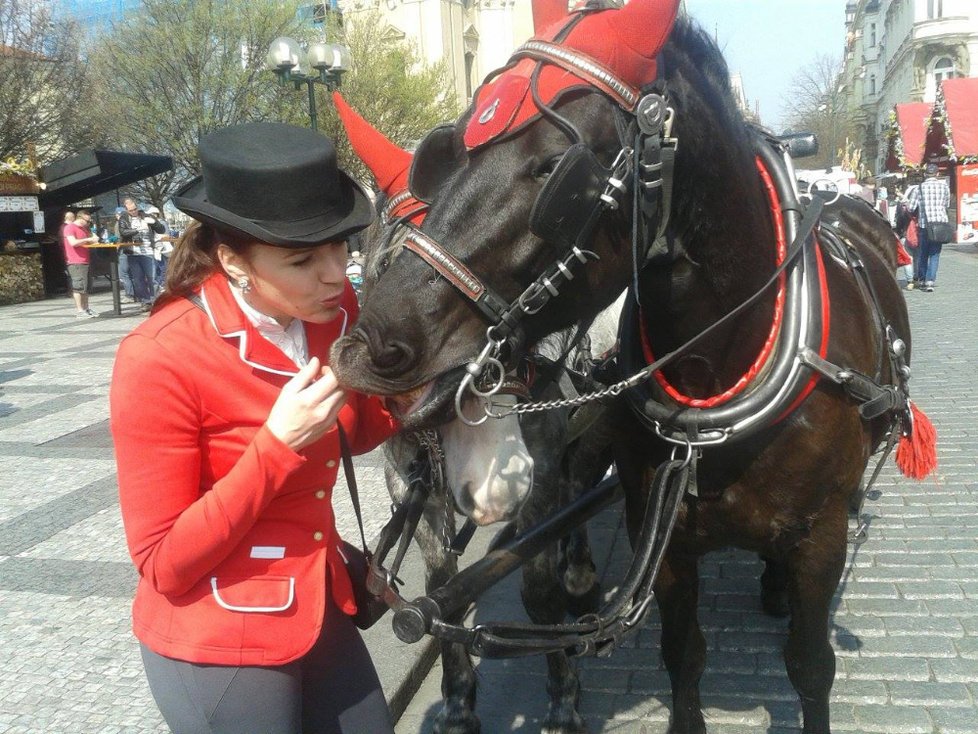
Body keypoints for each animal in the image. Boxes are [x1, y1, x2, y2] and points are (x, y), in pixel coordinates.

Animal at [330, 2, 932, 732]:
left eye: (551, 167)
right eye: (454, 155)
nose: (372, 347)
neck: (717, 370)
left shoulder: (819, 538)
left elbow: (810, 666)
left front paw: (560, 695)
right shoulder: (656, 531)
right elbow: (679, 651)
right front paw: (461, 700)